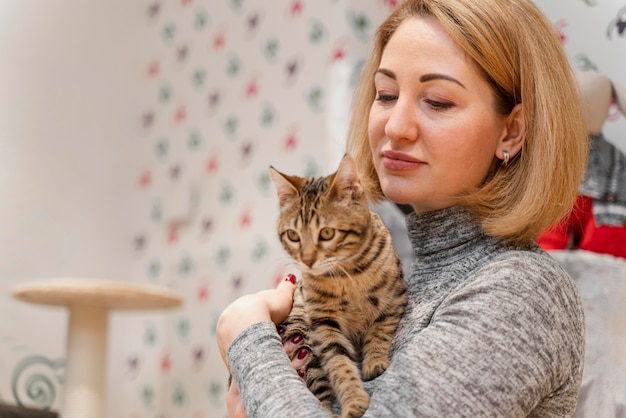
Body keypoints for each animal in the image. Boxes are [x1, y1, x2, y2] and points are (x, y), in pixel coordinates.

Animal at [266, 154, 404, 418]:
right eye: (293, 235)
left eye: (327, 233)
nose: (307, 261)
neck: (346, 273)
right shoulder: (323, 323)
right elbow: (339, 363)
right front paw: (353, 400)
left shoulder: (395, 297)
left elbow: (379, 330)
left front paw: (374, 361)